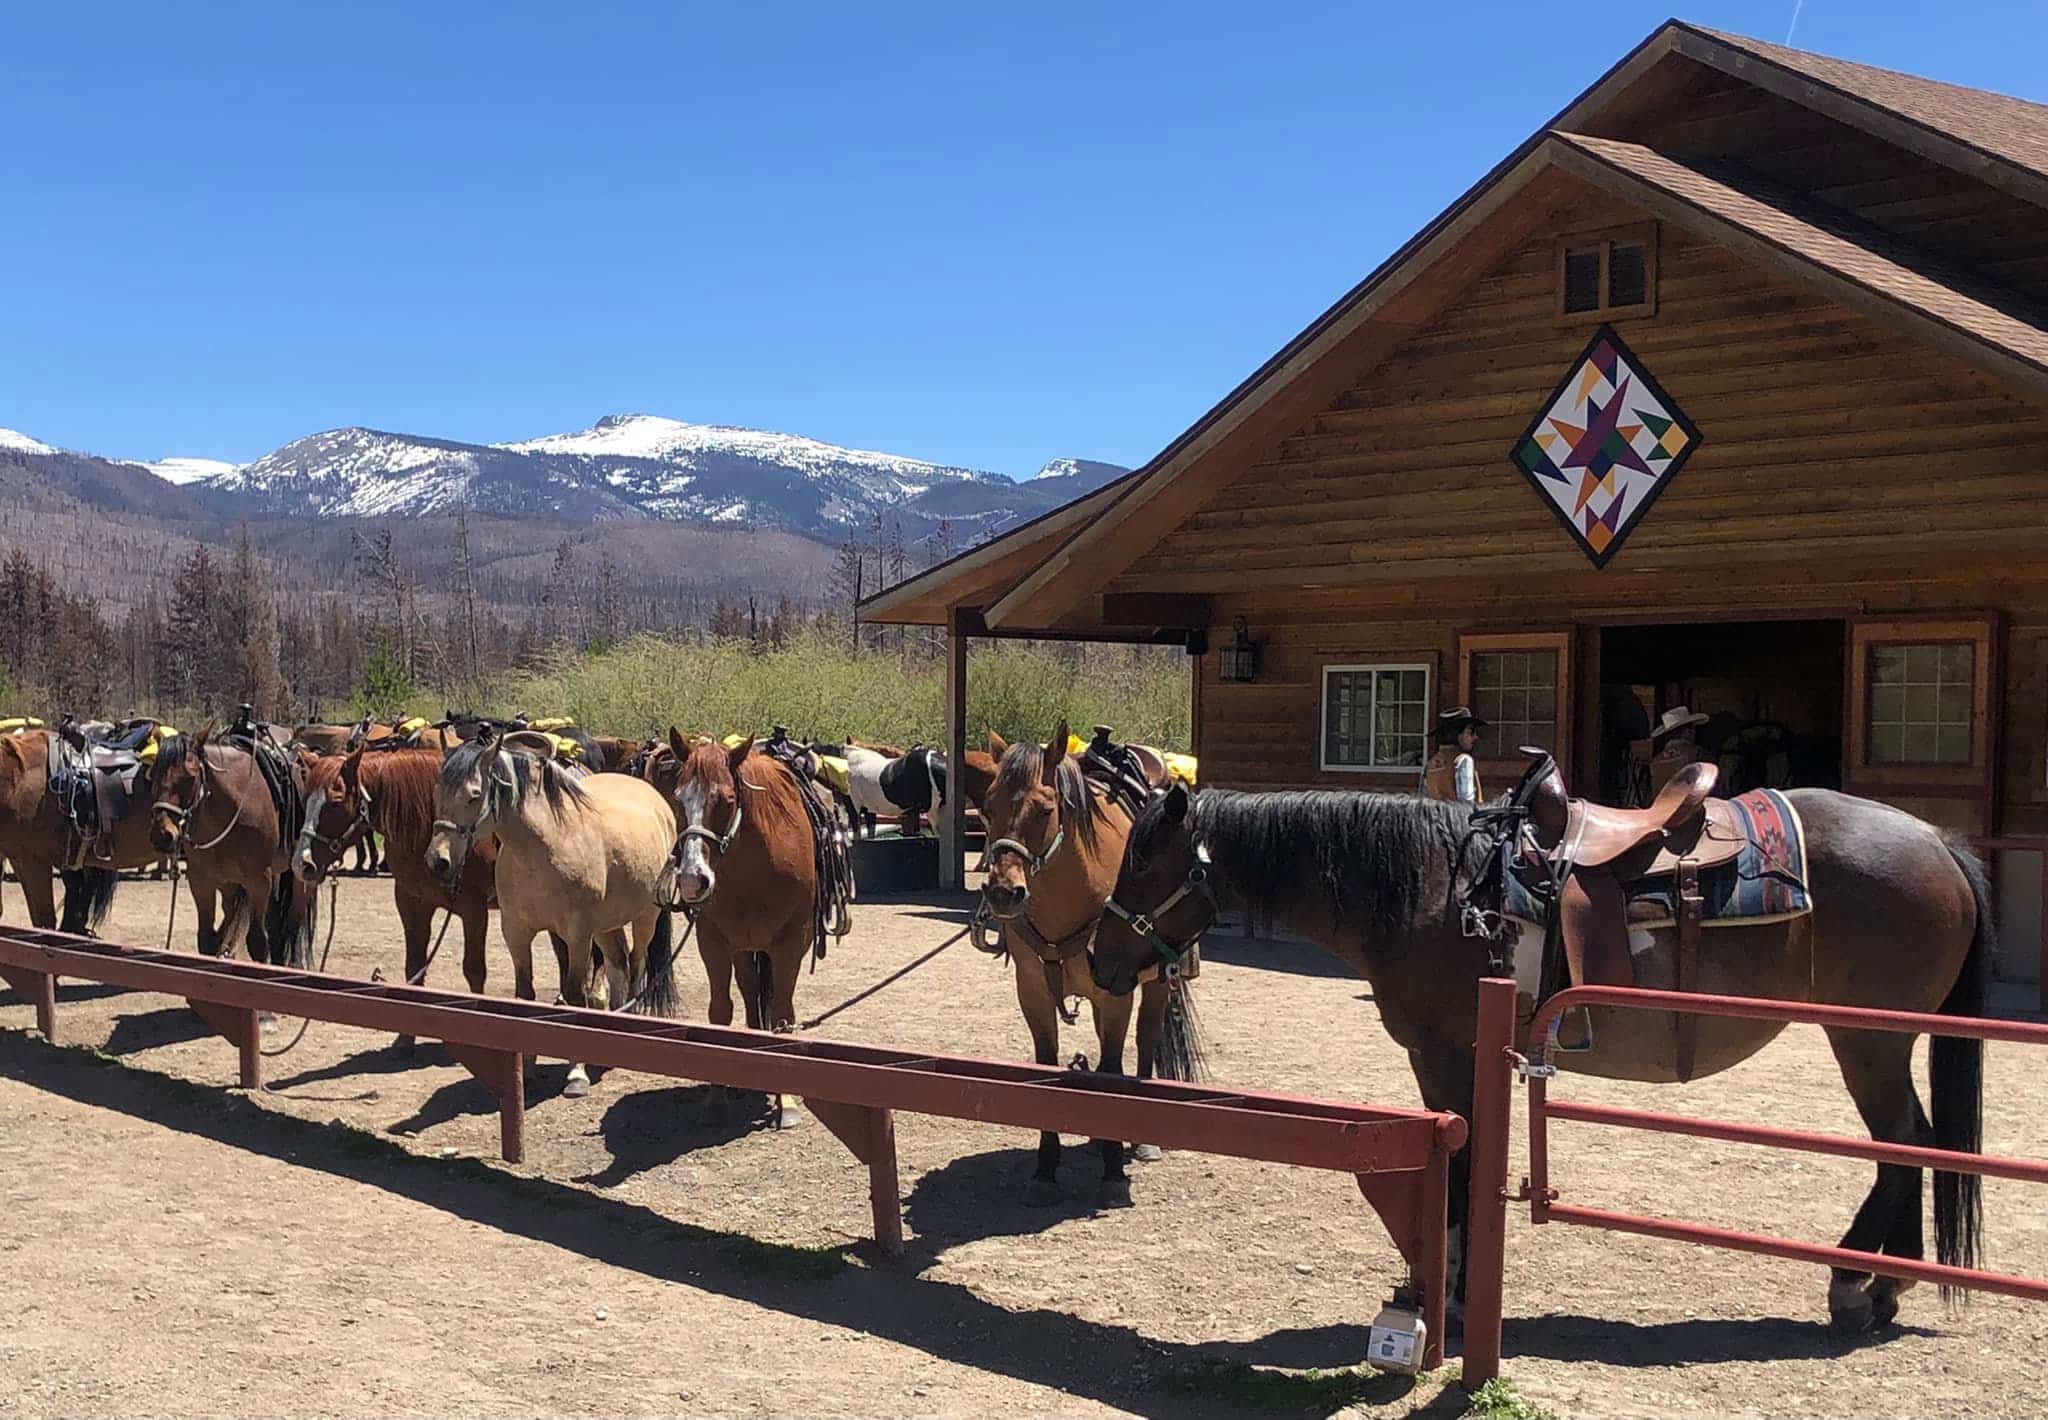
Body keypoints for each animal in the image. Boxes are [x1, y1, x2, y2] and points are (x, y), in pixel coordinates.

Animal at [149, 725, 317, 971]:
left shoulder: (259, 881)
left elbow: (257, 942)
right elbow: (207, 939)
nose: (162, 835)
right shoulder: (202, 881)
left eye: (189, 778)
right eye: (153, 775)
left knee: (293, 924)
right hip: (233, 884)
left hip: (297, 877)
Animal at [423, 725, 679, 1090]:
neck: (543, 847)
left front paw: (576, 1073)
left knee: (635, 965)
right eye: (437, 792)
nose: (438, 861)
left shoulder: (576, 936)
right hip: (606, 924)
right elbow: (525, 995)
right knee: (618, 964)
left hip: (646, 917)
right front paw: (528, 1066)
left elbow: (574, 996)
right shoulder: (516, 933)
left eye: (474, 794)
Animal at [974, 725, 1196, 1204]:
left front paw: (1112, 1171)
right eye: (987, 807)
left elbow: (1112, 1069)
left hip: (1154, 984)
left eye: (1045, 809)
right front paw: (1045, 1169)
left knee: (1146, 1039)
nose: (1003, 892)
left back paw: (1140, 1140)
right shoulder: (1033, 992)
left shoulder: (1114, 994)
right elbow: (1047, 1066)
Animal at [1097, 782, 1990, 1335]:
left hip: (1868, 1038)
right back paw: (1875, 1286)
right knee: (1908, 1145)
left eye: (1140, 858)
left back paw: (1869, 1286)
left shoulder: (1446, 1052)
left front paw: (1443, 1294)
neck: (1437, 887)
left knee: (1903, 1142)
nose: (1101, 960)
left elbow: (1459, 1169)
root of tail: (1939, 842)